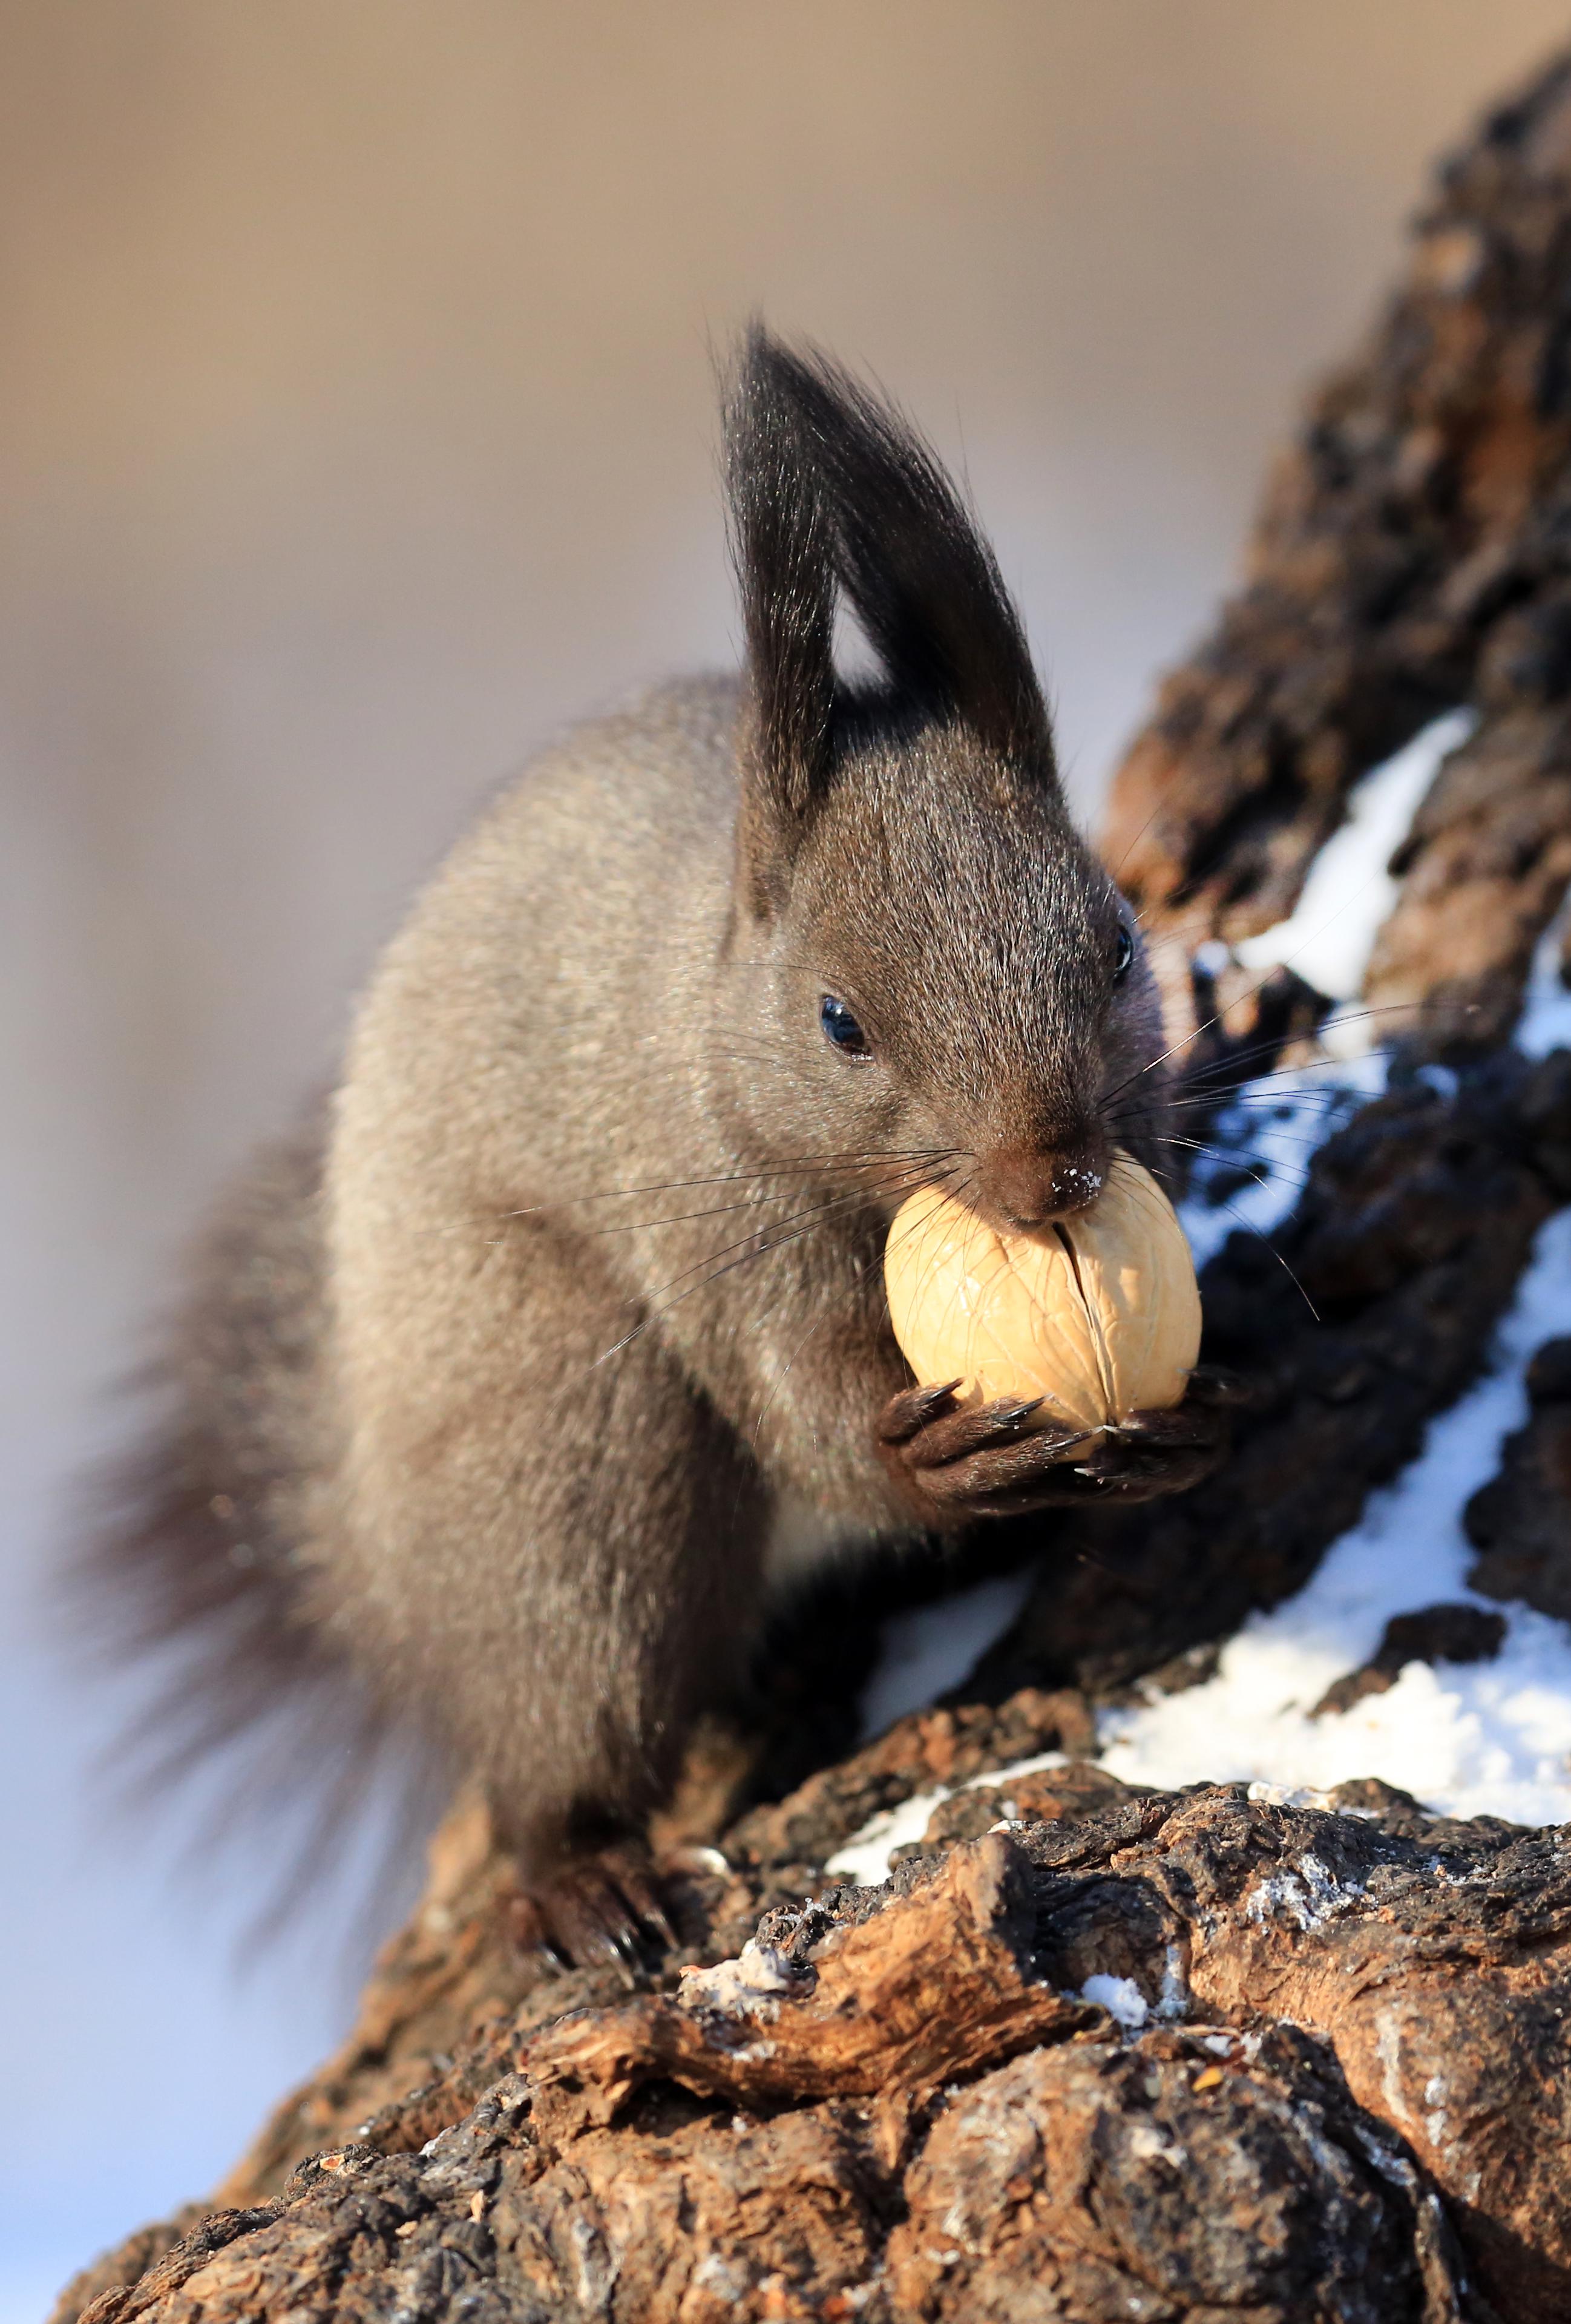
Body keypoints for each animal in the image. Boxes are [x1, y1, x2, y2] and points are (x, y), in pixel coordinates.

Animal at [88, 332, 1236, 1980]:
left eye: (1121, 943)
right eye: (838, 1022)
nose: (1055, 1177)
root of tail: (378, 1566)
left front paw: (1196, 1417)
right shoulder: (699, 1212)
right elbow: (794, 1399)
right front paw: (919, 1451)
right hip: (571, 1442)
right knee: (558, 1696)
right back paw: (582, 1872)